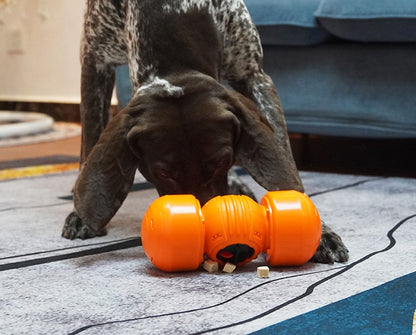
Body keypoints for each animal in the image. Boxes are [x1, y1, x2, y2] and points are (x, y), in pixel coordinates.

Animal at [61, 0, 348, 264]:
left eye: (223, 161)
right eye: (163, 173)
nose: (234, 250)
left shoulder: (255, 76)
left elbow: (285, 161)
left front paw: (319, 232)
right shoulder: (94, 60)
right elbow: (90, 140)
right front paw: (80, 214)